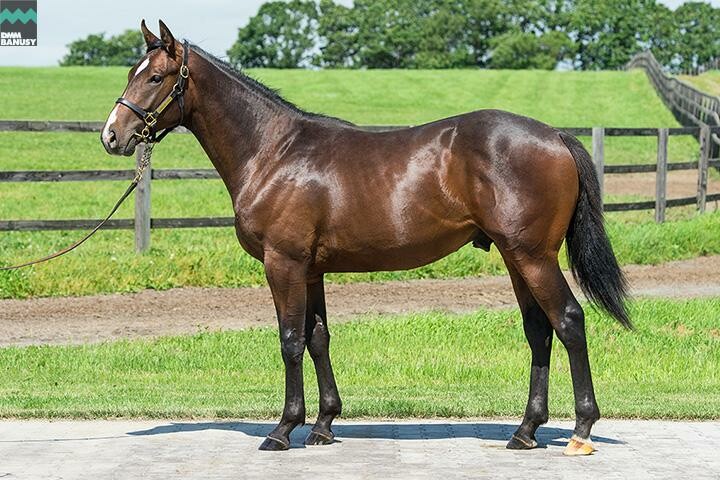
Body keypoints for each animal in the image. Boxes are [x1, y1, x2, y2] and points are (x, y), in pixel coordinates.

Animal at [101, 20, 630, 455]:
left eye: (155, 77)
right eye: (131, 71)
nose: (111, 136)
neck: (274, 152)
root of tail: (555, 136)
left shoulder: (283, 263)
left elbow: (290, 340)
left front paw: (283, 430)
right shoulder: (310, 270)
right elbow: (318, 339)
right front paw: (323, 425)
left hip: (533, 256)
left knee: (568, 321)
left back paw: (581, 431)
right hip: (515, 256)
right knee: (539, 330)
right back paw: (525, 431)